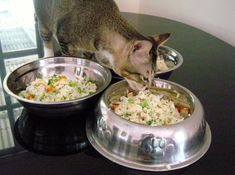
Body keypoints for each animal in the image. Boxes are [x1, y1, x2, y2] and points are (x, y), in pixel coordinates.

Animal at [33, 0, 169, 90]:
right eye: (144, 78)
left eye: (154, 76)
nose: (148, 88)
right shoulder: (65, 42)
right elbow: (69, 63)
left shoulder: (88, 50)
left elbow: (83, 63)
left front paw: (81, 77)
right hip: (44, 20)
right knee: (46, 38)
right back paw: (48, 54)